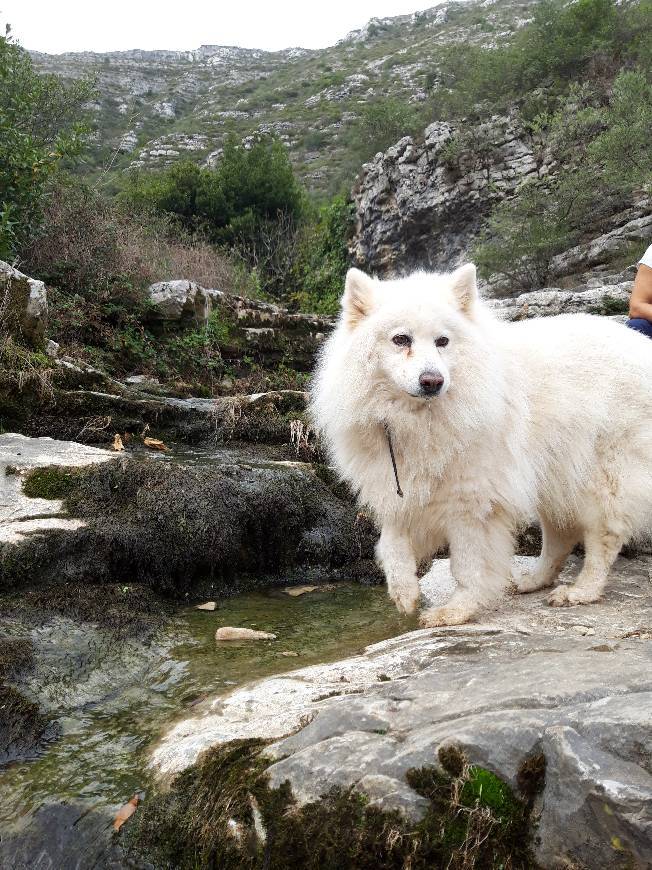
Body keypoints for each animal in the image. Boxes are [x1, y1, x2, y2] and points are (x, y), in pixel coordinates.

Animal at [310, 266, 652, 628]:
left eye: (443, 341)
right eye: (401, 339)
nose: (432, 381)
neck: (418, 421)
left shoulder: (472, 499)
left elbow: (468, 564)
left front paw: (456, 610)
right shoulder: (401, 488)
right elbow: (390, 541)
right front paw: (404, 591)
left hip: (605, 474)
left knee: (603, 535)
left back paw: (581, 590)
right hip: (553, 475)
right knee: (559, 534)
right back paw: (534, 580)